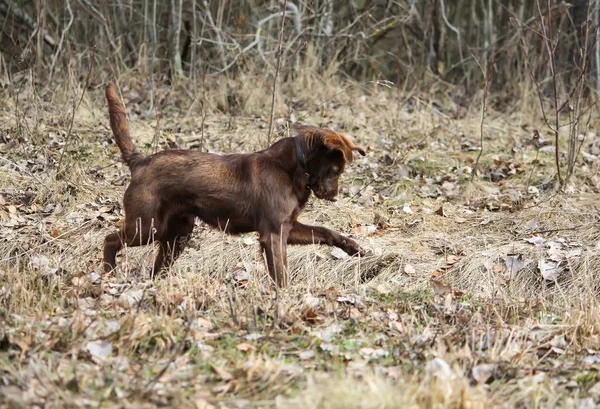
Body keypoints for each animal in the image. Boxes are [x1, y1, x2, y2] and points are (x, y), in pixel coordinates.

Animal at [103, 81, 366, 286]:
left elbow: (325, 231)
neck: (292, 169)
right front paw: (284, 298)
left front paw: (353, 247)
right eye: (335, 170)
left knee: (158, 266)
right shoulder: (272, 233)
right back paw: (108, 273)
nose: (334, 196)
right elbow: (280, 272)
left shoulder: (288, 228)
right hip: (147, 226)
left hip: (177, 233)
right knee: (110, 239)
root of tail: (141, 161)